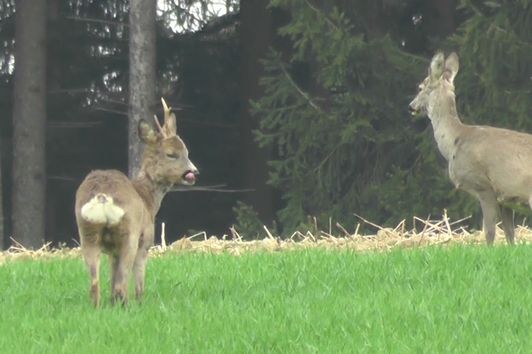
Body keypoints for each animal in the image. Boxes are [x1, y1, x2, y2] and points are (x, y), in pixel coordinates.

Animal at [75, 98, 200, 306]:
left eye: (187, 152)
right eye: (171, 154)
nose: (194, 172)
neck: (147, 199)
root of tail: (102, 196)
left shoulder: (112, 252)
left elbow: (112, 277)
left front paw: (112, 304)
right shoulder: (146, 239)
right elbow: (139, 282)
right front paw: (141, 302)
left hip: (87, 232)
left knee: (95, 284)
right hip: (129, 234)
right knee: (121, 284)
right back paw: (127, 305)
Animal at [408, 53, 532, 246]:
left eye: (421, 87)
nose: (411, 106)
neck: (454, 142)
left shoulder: (484, 186)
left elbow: (489, 232)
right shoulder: (505, 198)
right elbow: (510, 236)